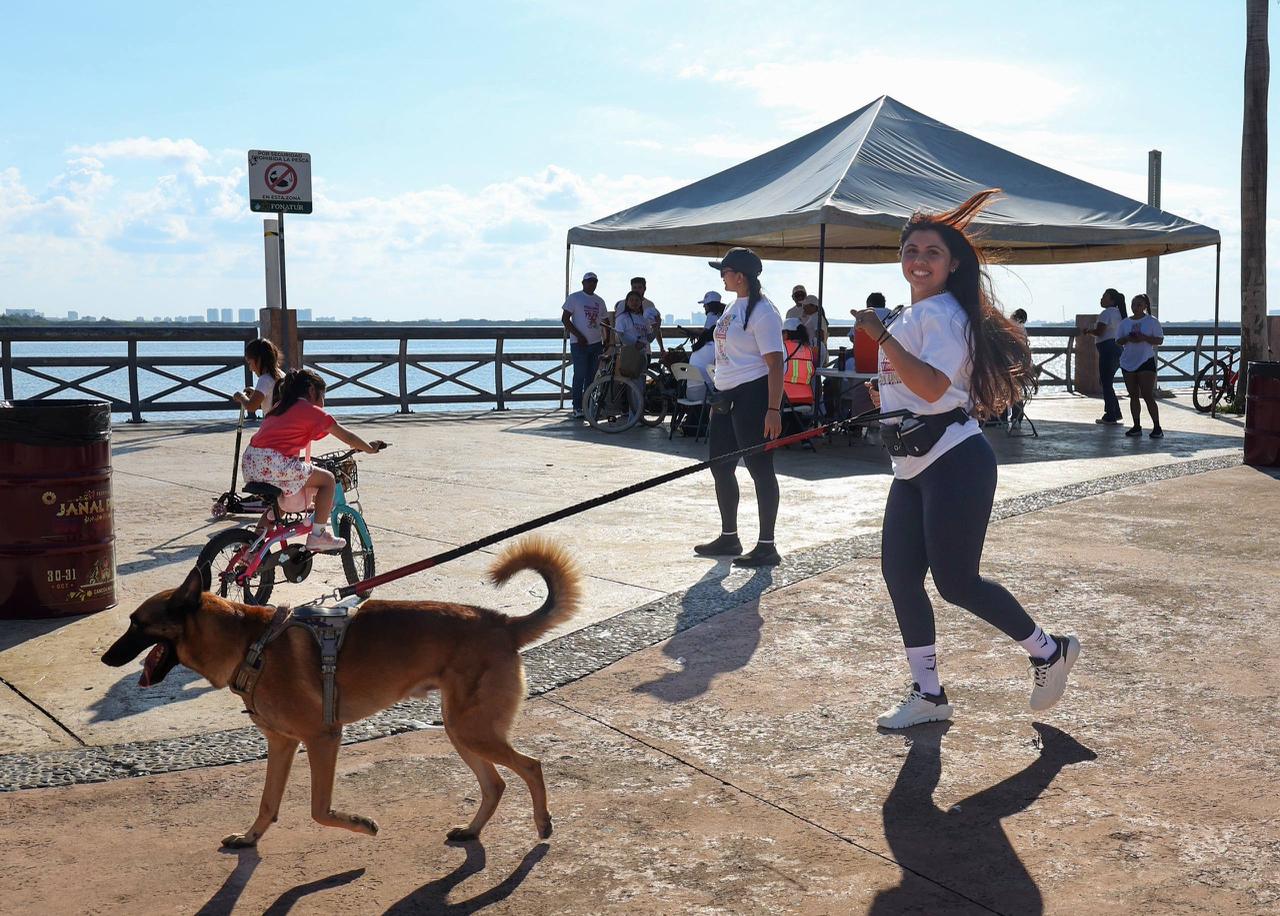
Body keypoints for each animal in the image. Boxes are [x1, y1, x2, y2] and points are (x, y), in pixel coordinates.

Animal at [101, 536, 580, 848]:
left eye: (137, 623)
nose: (105, 658)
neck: (248, 642)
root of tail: (504, 623)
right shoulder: (282, 744)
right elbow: (268, 802)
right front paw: (251, 837)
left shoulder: (322, 738)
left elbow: (318, 809)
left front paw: (361, 824)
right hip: (461, 731)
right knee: (495, 784)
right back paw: (473, 830)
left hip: (471, 729)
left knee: (532, 766)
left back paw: (542, 823)